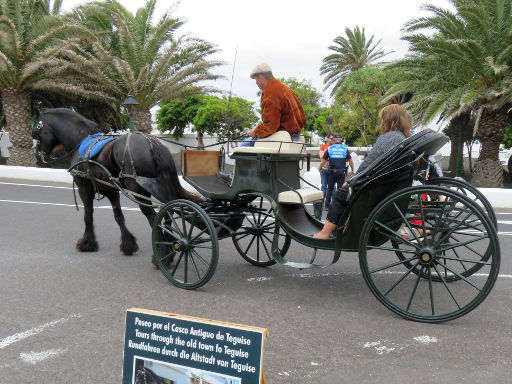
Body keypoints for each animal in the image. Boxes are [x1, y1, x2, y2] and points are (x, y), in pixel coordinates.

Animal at [32, 108, 200, 256]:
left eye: (36, 132)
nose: (38, 155)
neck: (81, 141)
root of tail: (151, 143)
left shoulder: (84, 189)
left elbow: (88, 215)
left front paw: (87, 243)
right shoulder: (111, 190)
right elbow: (118, 216)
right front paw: (128, 245)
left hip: (138, 189)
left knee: (154, 217)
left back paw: (162, 254)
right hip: (160, 187)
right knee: (169, 212)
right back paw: (170, 245)